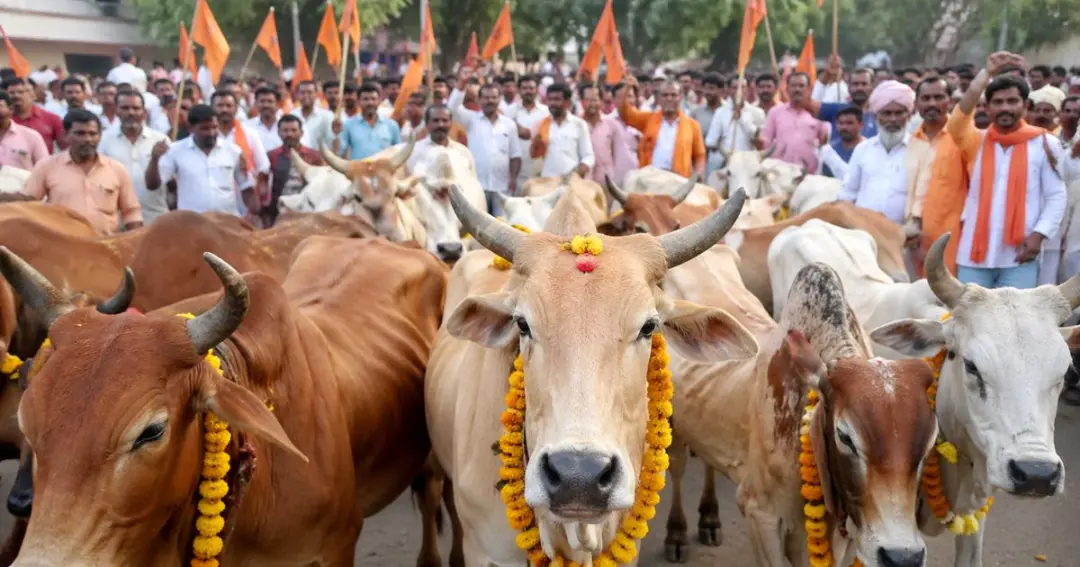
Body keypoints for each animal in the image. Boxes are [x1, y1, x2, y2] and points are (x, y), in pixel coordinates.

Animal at [663, 257, 938, 566]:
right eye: (845, 436)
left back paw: (710, 518)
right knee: (677, 466)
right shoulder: (761, 514)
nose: (902, 557)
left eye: (930, 442)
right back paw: (676, 534)